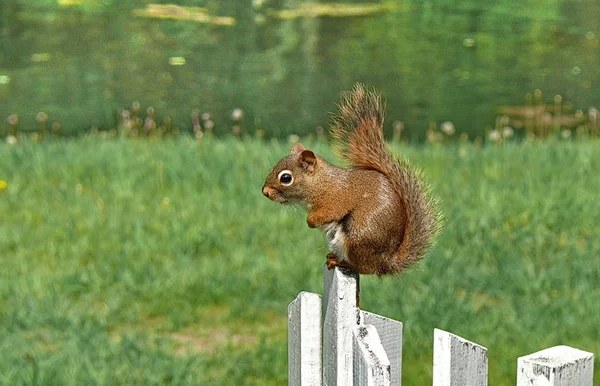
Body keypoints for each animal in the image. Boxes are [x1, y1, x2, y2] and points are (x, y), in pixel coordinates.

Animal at [262, 83, 440, 278]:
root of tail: (386, 263)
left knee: (364, 268)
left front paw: (310, 221)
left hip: (356, 235)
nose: (265, 192)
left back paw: (341, 262)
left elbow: (328, 213)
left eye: (286, 178)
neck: (320, 183)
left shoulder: (336, 199)